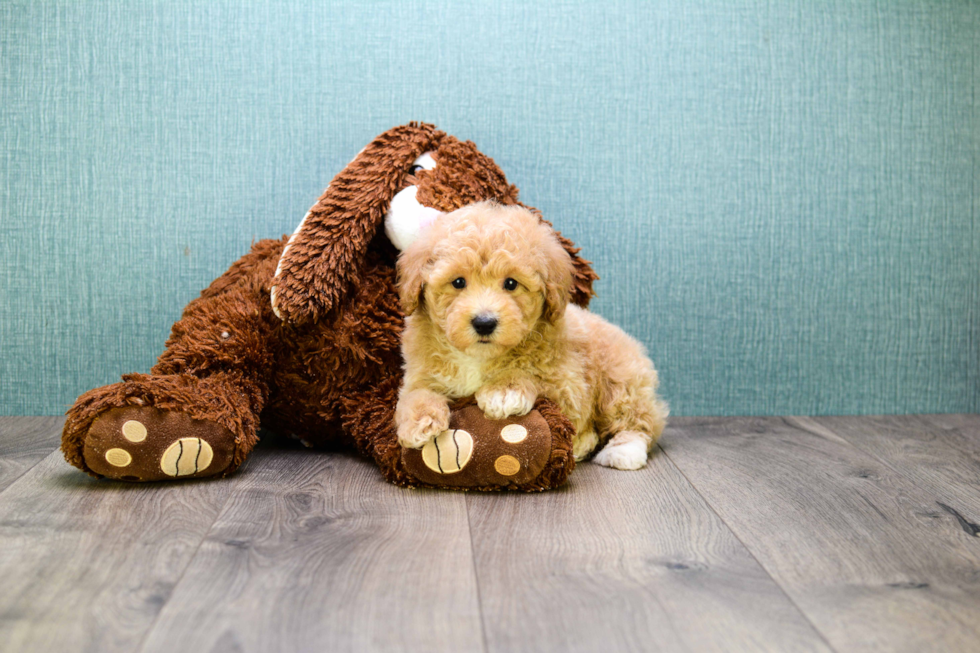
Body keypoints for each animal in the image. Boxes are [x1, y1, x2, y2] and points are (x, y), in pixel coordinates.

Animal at [394, 200, 668, 468]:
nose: (484, 323)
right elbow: (414, 394)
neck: (479, 357)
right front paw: (419, 422)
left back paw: (623, 451)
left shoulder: (568, 385)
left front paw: (504, 391)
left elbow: (532, 375)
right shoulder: (420, 373)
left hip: (620, 379)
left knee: (638, 421)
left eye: (511, 283)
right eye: (458, 282)